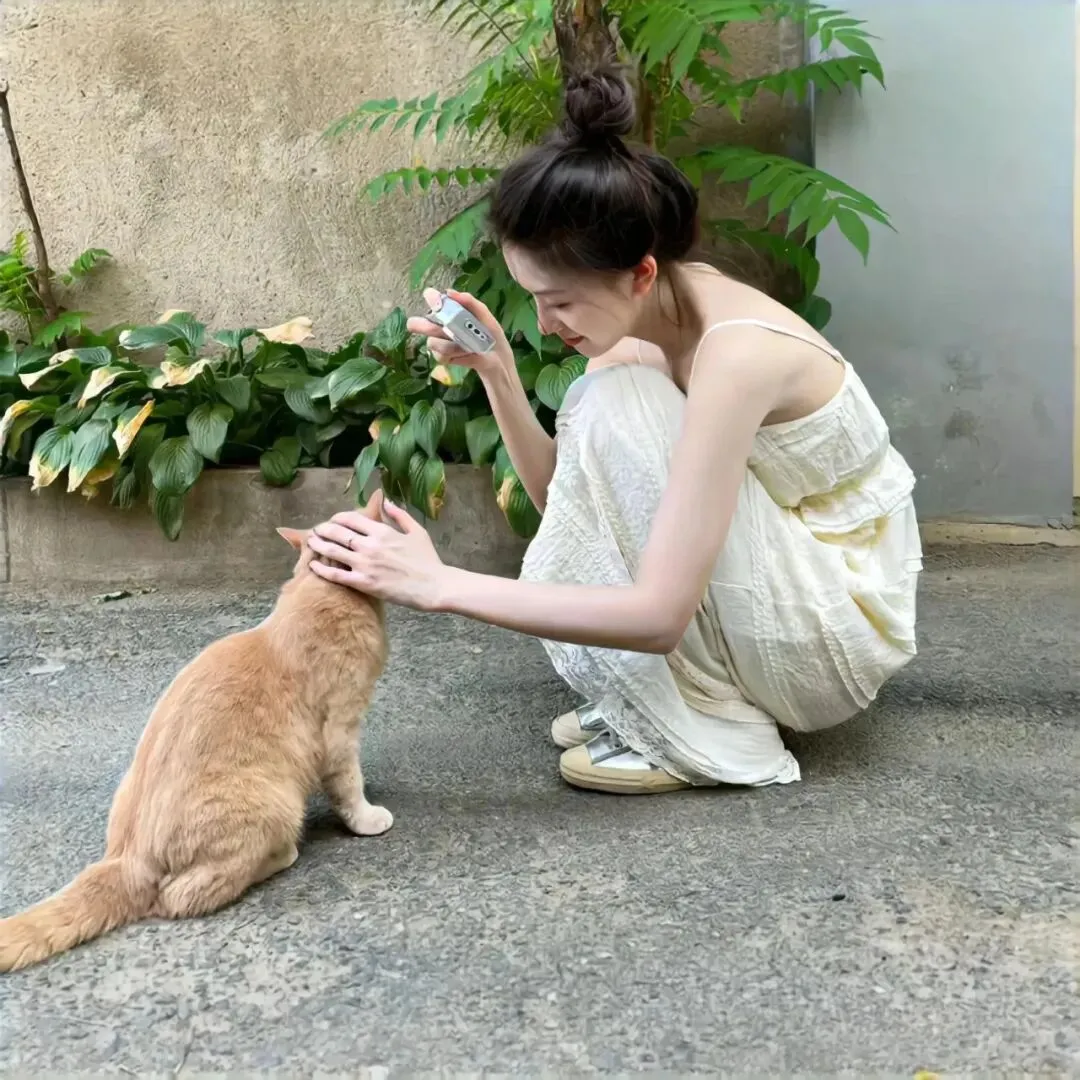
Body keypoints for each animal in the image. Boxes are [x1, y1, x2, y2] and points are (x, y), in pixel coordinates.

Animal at [0, 491, 392, 972]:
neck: (318, 588)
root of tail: (128, 857)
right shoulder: (339, 728)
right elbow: (348, 784)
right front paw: (367, 817)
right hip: (273, 804)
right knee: (179, 897)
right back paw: (282, 854)